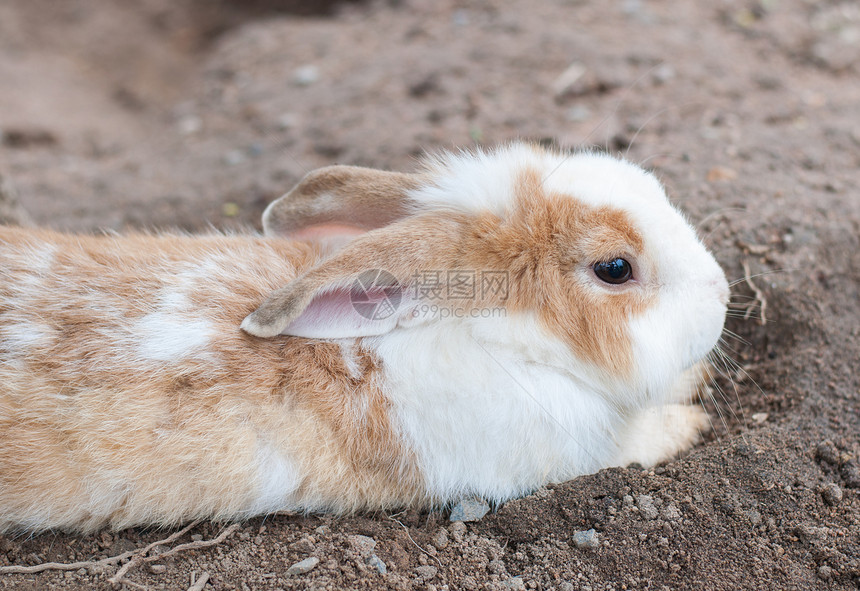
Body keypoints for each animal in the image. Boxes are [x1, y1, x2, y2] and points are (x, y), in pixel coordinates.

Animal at [0, 143, 724, 536]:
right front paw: (693, 423)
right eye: (615, 268)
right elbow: (640, 440)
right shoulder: (568, 452)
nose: (720, 293)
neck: (500, 339)